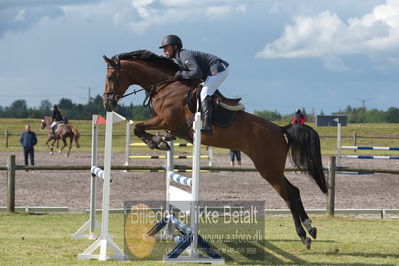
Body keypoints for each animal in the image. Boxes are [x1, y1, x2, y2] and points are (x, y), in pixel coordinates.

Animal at [102, 50, 328, 249]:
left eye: (111, 76)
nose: (107, 103)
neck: (167, 87)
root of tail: (280, 129)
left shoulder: (166, 119)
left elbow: (139, 127)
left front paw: (155, 142)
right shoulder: (168, 125)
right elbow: (146, 130)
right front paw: (162, 141)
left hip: (269, 169)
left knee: (289, 194)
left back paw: (304, 235)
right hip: (271, 169)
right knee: (294, 191)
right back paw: (310, 228)